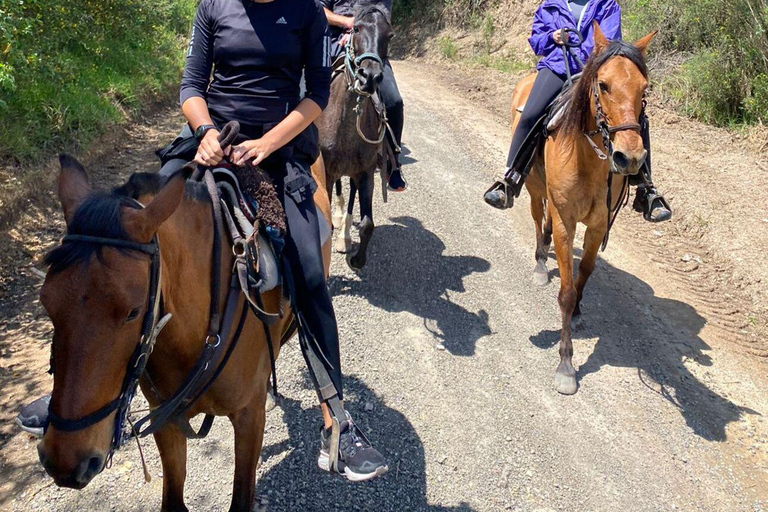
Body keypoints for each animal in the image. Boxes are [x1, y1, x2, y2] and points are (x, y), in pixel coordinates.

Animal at [316, 4, 392, 270]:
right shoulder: (327, 172)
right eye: (356, 28)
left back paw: (345, 236)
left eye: (389, 36)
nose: (369, 76)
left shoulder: (365, 172)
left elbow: (368, 224)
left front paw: (358, 258)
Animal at [516, 24, 656, 394]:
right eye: (603, 84)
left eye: (644, 89)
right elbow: (565, 290)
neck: (587, 160)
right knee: (537, 218)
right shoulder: (567, 220)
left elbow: (585, 274)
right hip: (534, 186)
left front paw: (578, 311)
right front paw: (566, 365)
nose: (630, 157)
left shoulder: (598, 224)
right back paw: (540, 263)